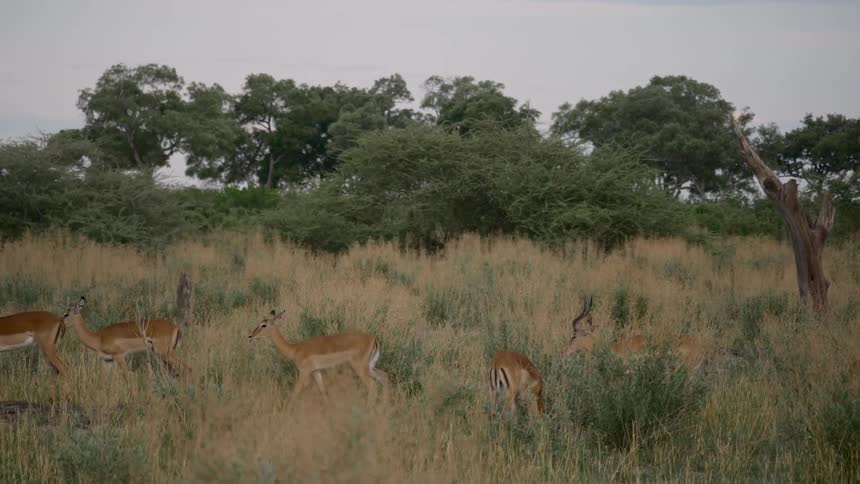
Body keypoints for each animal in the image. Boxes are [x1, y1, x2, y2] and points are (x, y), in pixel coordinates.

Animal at [62, 297, 190, 375]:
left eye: (66, 314)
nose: (61, 325)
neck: (98, 338)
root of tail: (176, 328)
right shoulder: (107, 361)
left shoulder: (120, 356)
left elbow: (127, 377)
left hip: (165, 354)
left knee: (188, 368)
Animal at [248, 309, 389, 404]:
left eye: (264, 325)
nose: (250, 336)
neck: (295, 349)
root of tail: (373, 339)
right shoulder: (316, 372)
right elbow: (323, 392)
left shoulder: (304, 372)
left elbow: (295, 393)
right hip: (370, 367)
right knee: (384, 377)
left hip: (360, 368)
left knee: (373, 386)